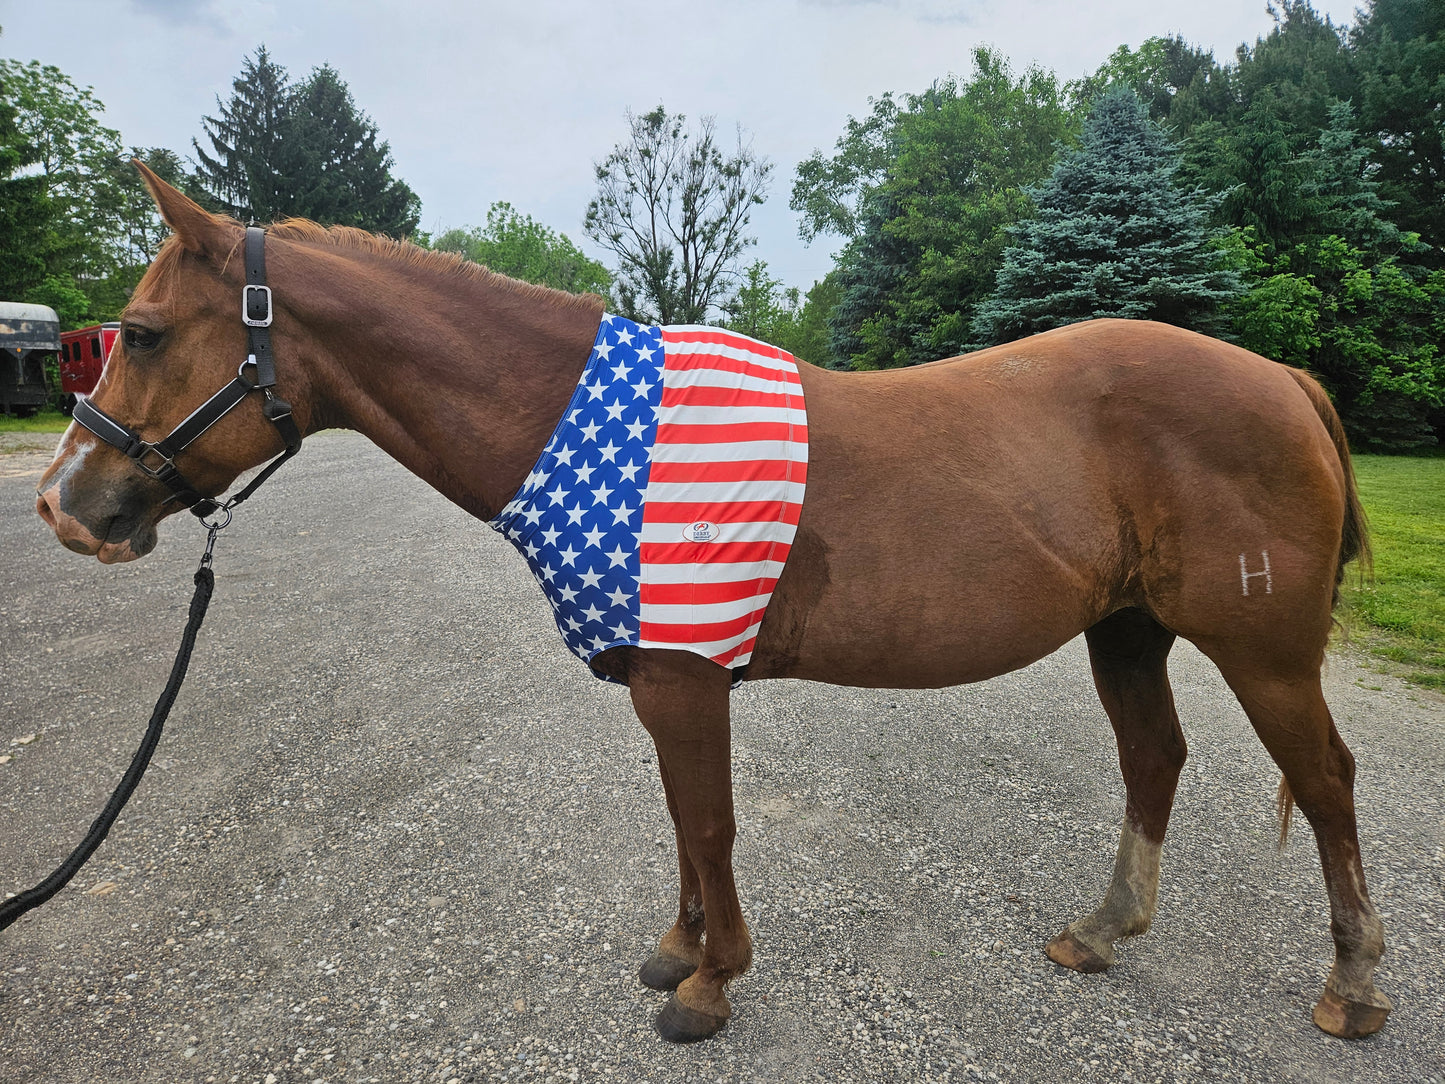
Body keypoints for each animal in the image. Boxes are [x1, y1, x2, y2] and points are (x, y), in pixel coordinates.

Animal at [34, 165, 1390, 1044]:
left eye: (140, 333)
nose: (65, 503)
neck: (596, 437)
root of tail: (1281, 378)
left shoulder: (684, 678)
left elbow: (710, 823)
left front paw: (709, 984)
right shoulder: (660, 678)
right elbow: (682, 826)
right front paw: (680, 951)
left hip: (1261, 652)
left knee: (1323, 781)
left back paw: (1354, 986)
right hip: (1127, 632)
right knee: (1153, 757)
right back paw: (1102, 931)